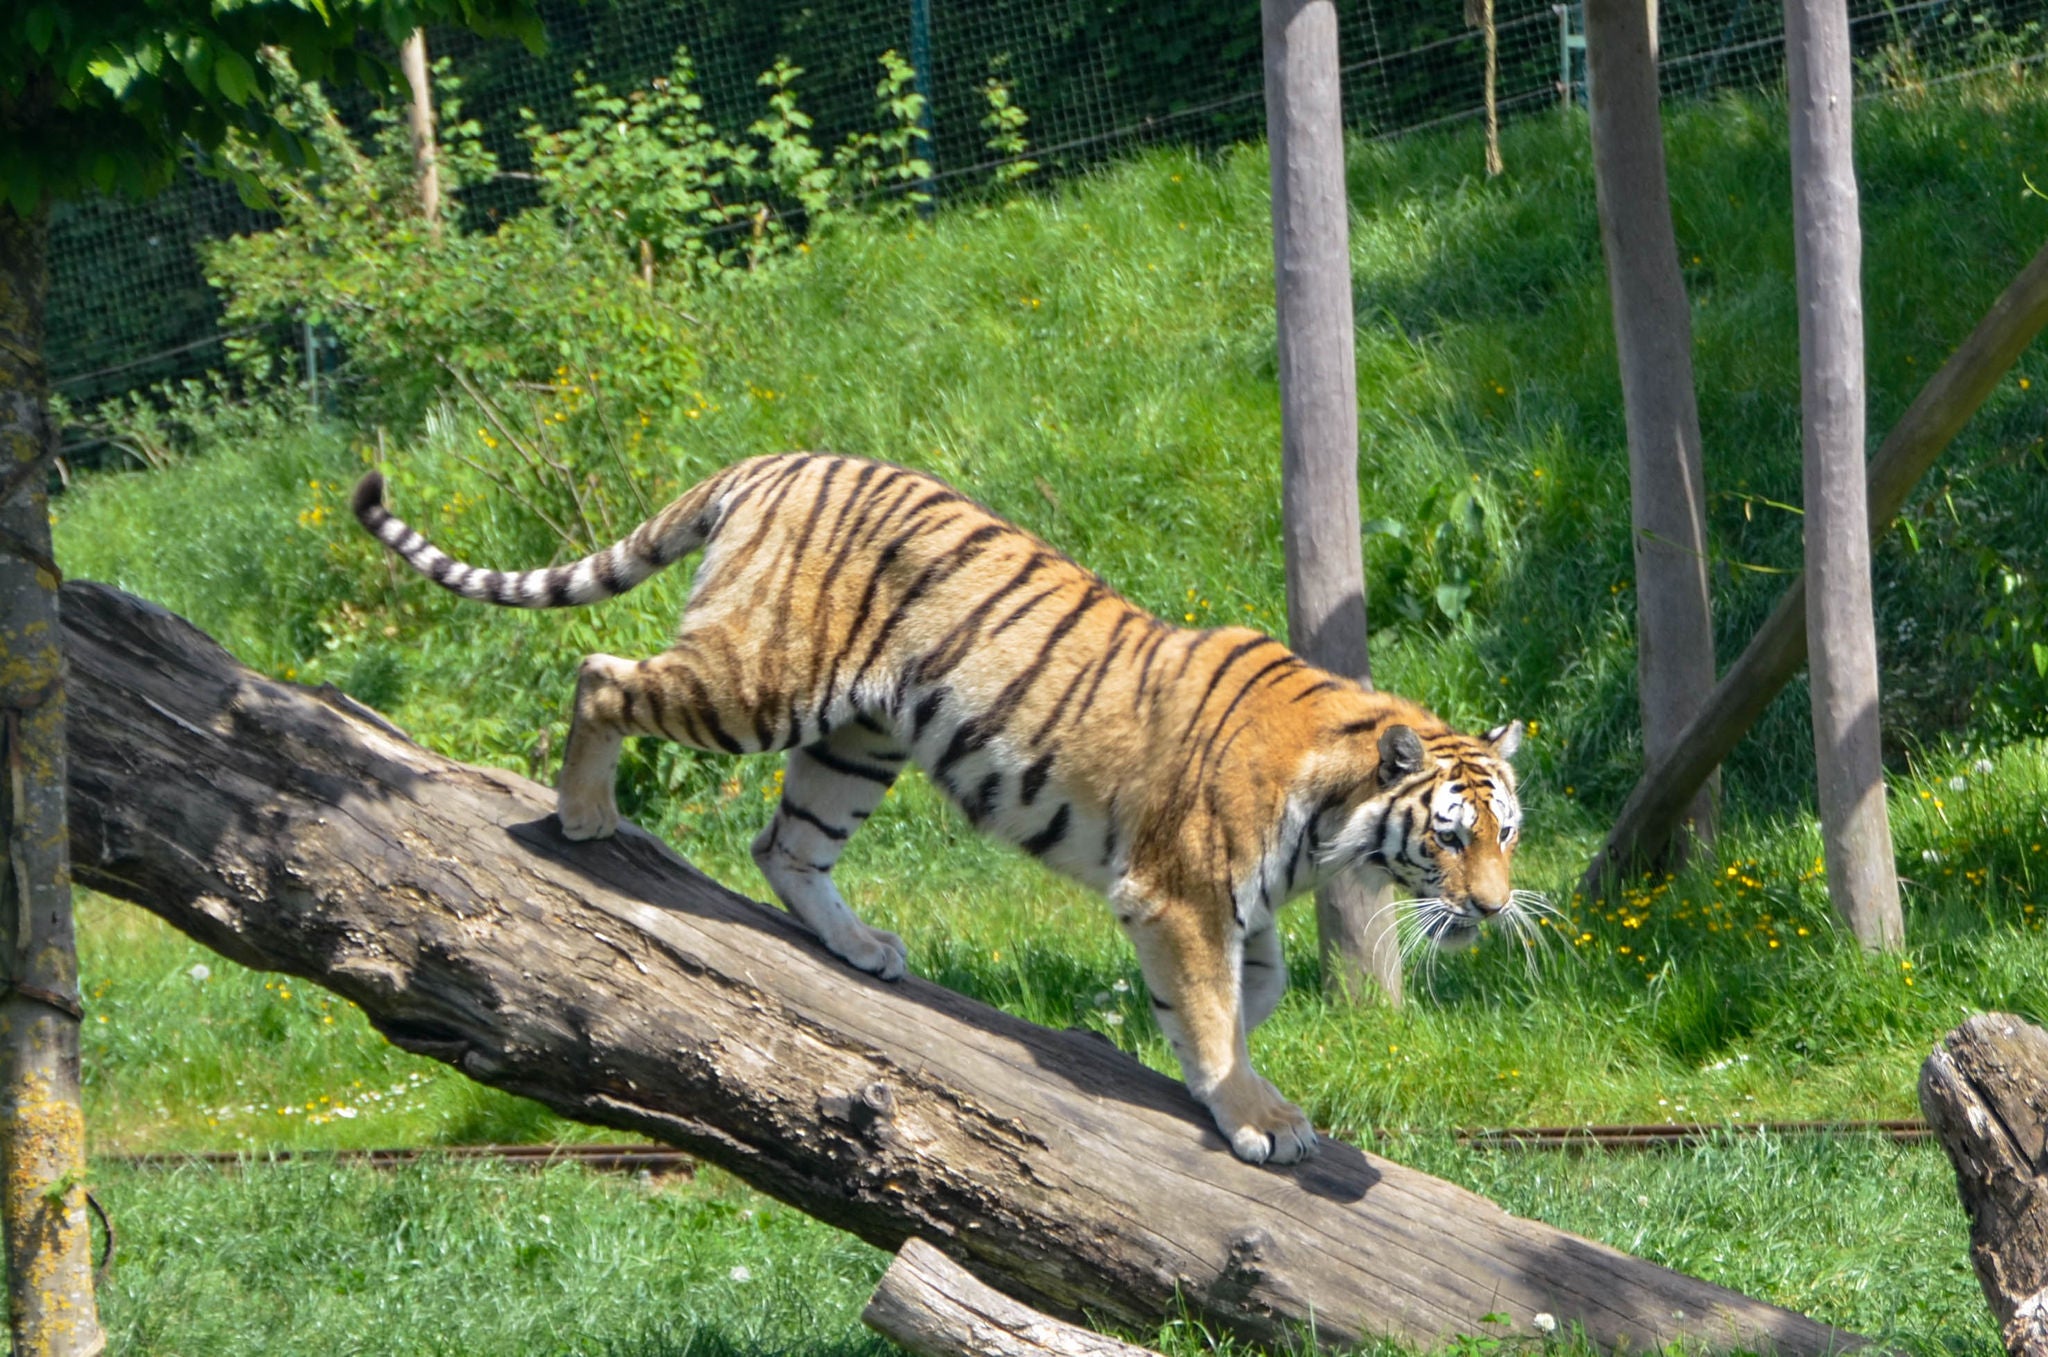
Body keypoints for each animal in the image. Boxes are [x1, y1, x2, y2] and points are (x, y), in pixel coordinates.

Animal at [356, 456, 1523, 1170]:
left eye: (1505, 832)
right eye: (1449, 835)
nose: (1495, 908)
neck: (1333, 820)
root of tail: (773, 462)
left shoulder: (1234, 904)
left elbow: (1250, 992)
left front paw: (1183, 1055)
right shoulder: (1181, 894)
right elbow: (1210, 1009)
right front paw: (1253, 1114)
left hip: (858, 739)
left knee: (784, 840)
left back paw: (860, 946)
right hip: (758, 682)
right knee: (602, 673)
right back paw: (586, 813)